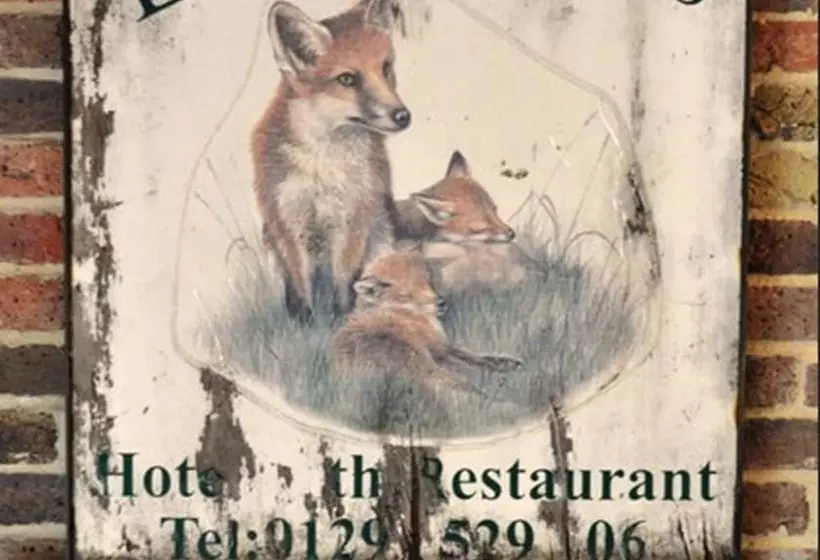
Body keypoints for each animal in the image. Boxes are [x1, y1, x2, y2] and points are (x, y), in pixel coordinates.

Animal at [252, 0, 411, 323]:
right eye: (347, 79)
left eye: (385, 68)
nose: (403, 116)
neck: (321, 166)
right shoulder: (287, 222)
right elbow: (300, 288)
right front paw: (304, 326)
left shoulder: (351, 219)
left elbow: (344, 283)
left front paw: (339, 321)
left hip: (381, 233)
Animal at [331, 247, 524, 398]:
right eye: (406, 294)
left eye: (428, 281)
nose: (441, 303)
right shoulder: (439, 351)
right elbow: (478, 362)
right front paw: (504, 368)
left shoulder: (444, 347)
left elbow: (478, 356)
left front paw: (510, 362)